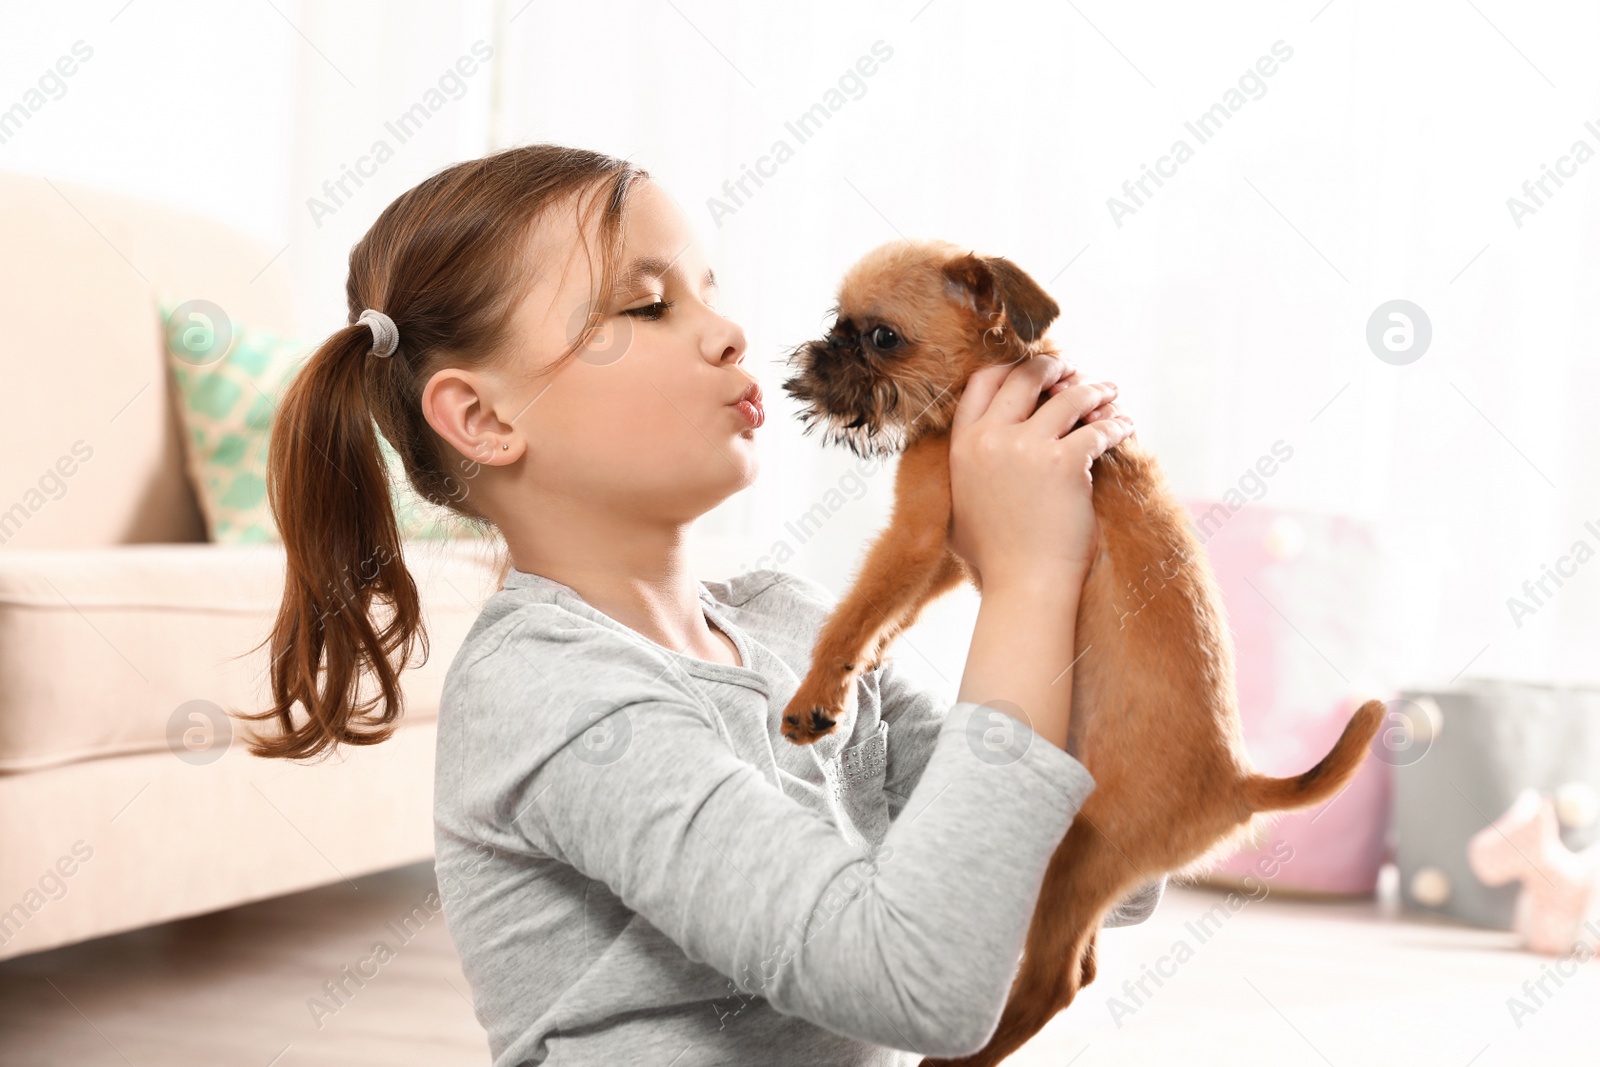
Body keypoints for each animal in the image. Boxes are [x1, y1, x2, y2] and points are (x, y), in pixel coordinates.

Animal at [777, 239, 1388, 1067]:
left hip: (1075, 857)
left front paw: (817, 694)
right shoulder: (945, 555)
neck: (994, 374)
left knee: (1057, 981)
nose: (819, 353)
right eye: (838, 324)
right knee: (1080, 967)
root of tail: (1239, 783)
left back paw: (955, 1056)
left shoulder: (914, 533)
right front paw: (866, 668)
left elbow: (854, 611)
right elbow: (894, 615)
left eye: (880, 337)